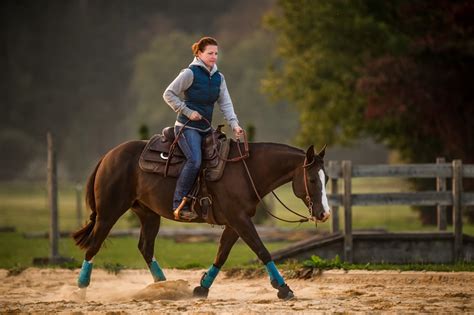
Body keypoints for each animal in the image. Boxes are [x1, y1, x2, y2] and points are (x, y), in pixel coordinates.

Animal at [72, 139, 330, 302]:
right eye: (311, 179)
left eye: (325, 178)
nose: (324, 214)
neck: (245, 171)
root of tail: (108, 156)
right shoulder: (239, 220)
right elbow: (262, 251)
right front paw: (284, 289)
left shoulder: (235, 222)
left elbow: (221, 255)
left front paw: (201, 288)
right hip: (109, 212)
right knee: (94, 246)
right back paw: (81, 290)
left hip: (148, 215)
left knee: (145, 247)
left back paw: (166, 287)